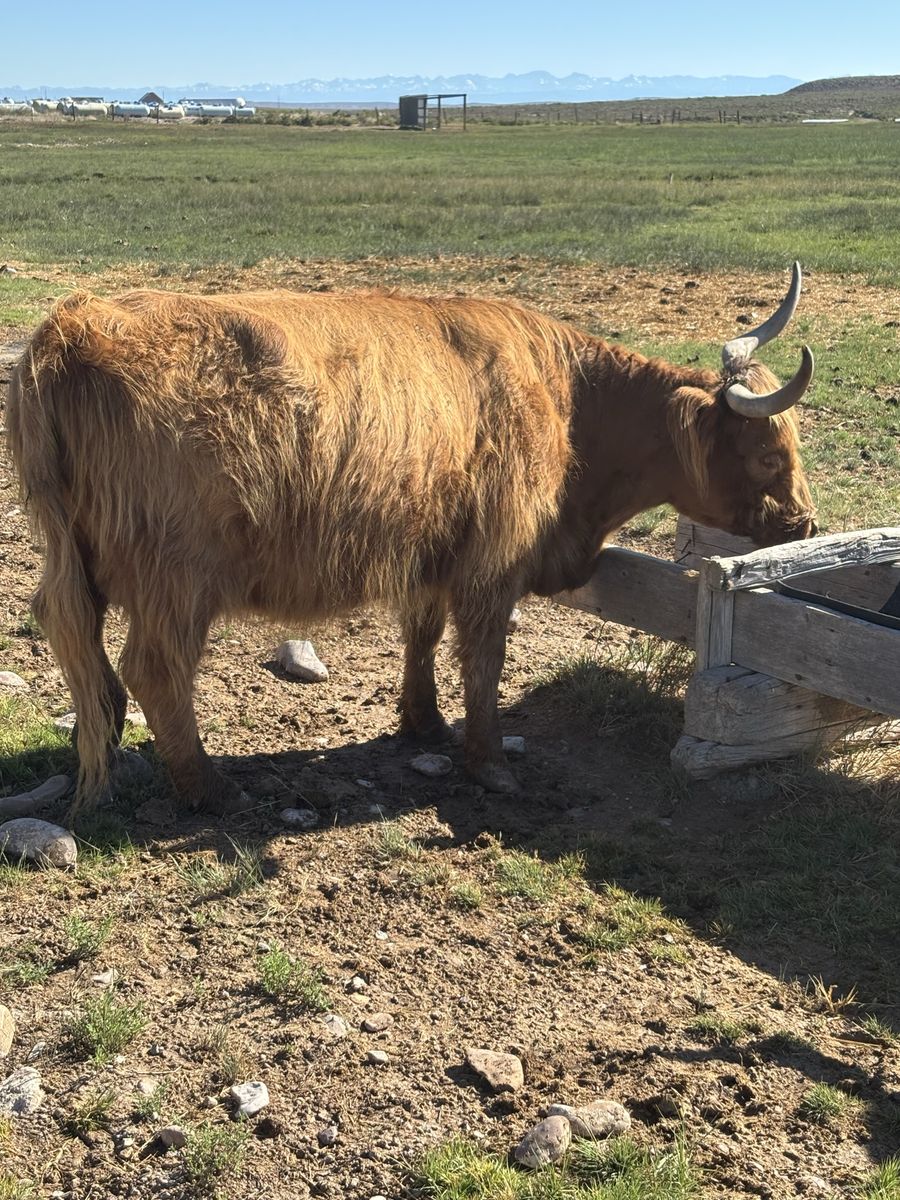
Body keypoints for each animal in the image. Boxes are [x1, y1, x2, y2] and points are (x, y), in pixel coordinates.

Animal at [7, 264, 817, 812]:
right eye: (768, 455)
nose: (804, 523)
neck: (570, 403)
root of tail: (71, 324)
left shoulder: (432, 547)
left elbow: (421, 635)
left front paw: (422, 724)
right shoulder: (493, 559)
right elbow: (484, 662)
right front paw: (488, 764)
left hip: (76, 561)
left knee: (75, 638)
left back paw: (111, 747)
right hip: (177, 574)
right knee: (155, 668)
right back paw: (209, 788)